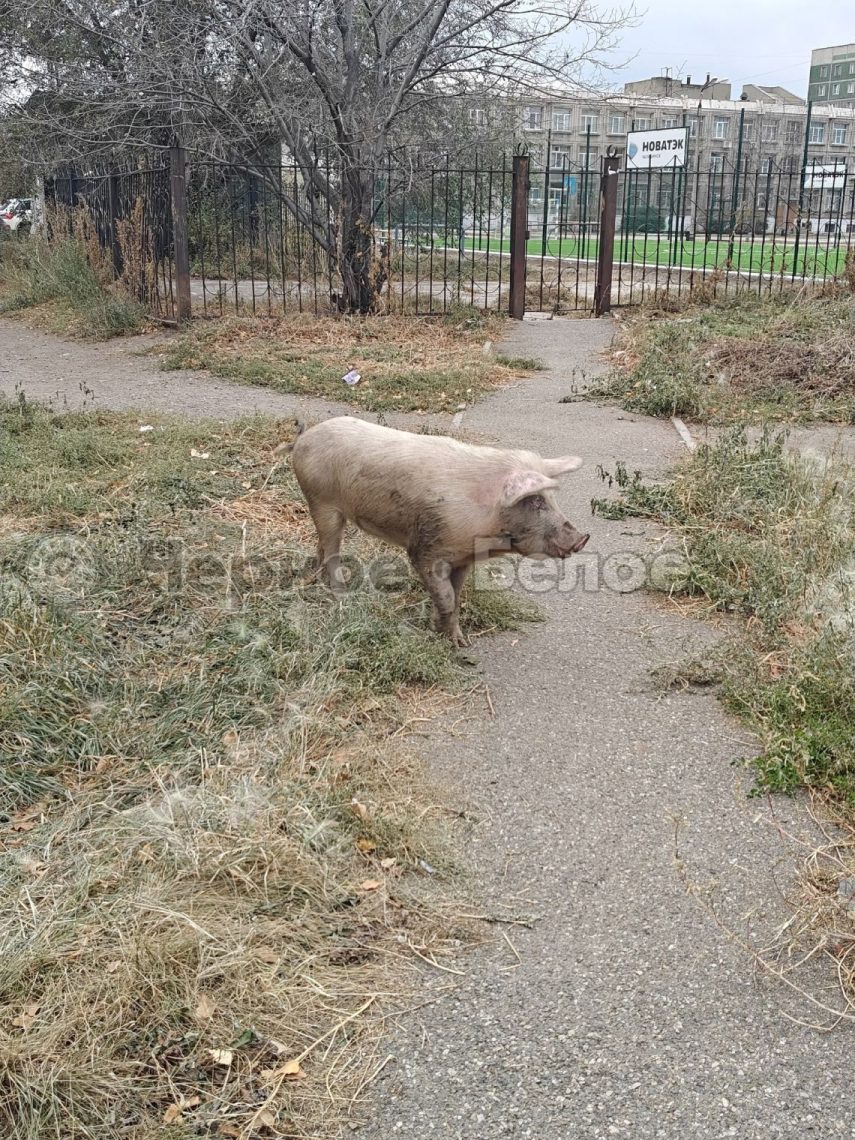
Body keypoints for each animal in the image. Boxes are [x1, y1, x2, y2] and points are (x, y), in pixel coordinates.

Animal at [281, 417, 588, 652]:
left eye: (552, 499)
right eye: (535, 501)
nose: (582, 538)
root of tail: (305, 437)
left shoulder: (463, 559)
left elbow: (456, 596)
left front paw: (460, 642)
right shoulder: (426, 550)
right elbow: (447, 597)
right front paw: (448, 642)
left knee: (321, 545)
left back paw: (314, 579)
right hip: (322, 501)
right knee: (331, 550)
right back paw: (342, 596)